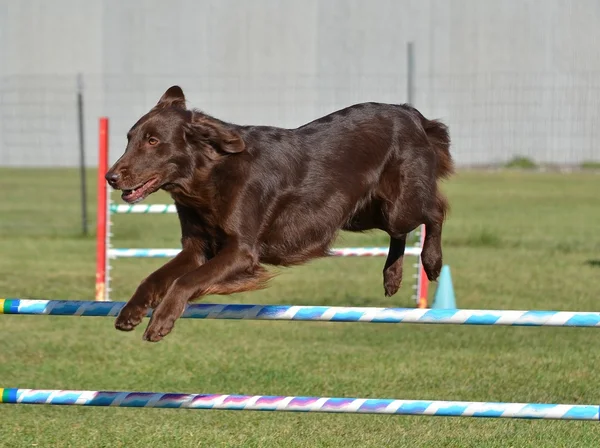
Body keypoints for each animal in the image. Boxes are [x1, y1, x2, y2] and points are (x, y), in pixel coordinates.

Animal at [105, 86, 452, 342]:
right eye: (129, 139)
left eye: (153, 141)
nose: (110, 177)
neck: (209, 174)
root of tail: (410, 113)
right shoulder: (197, 249)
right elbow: (155, 277)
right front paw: (131, 311)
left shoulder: (241, 251)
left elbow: (185, 281)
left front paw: (161, 320)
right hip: (361, 213)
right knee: (401, 230)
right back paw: (392, 277)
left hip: (396, 205)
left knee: (435, 211)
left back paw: (432, 263)